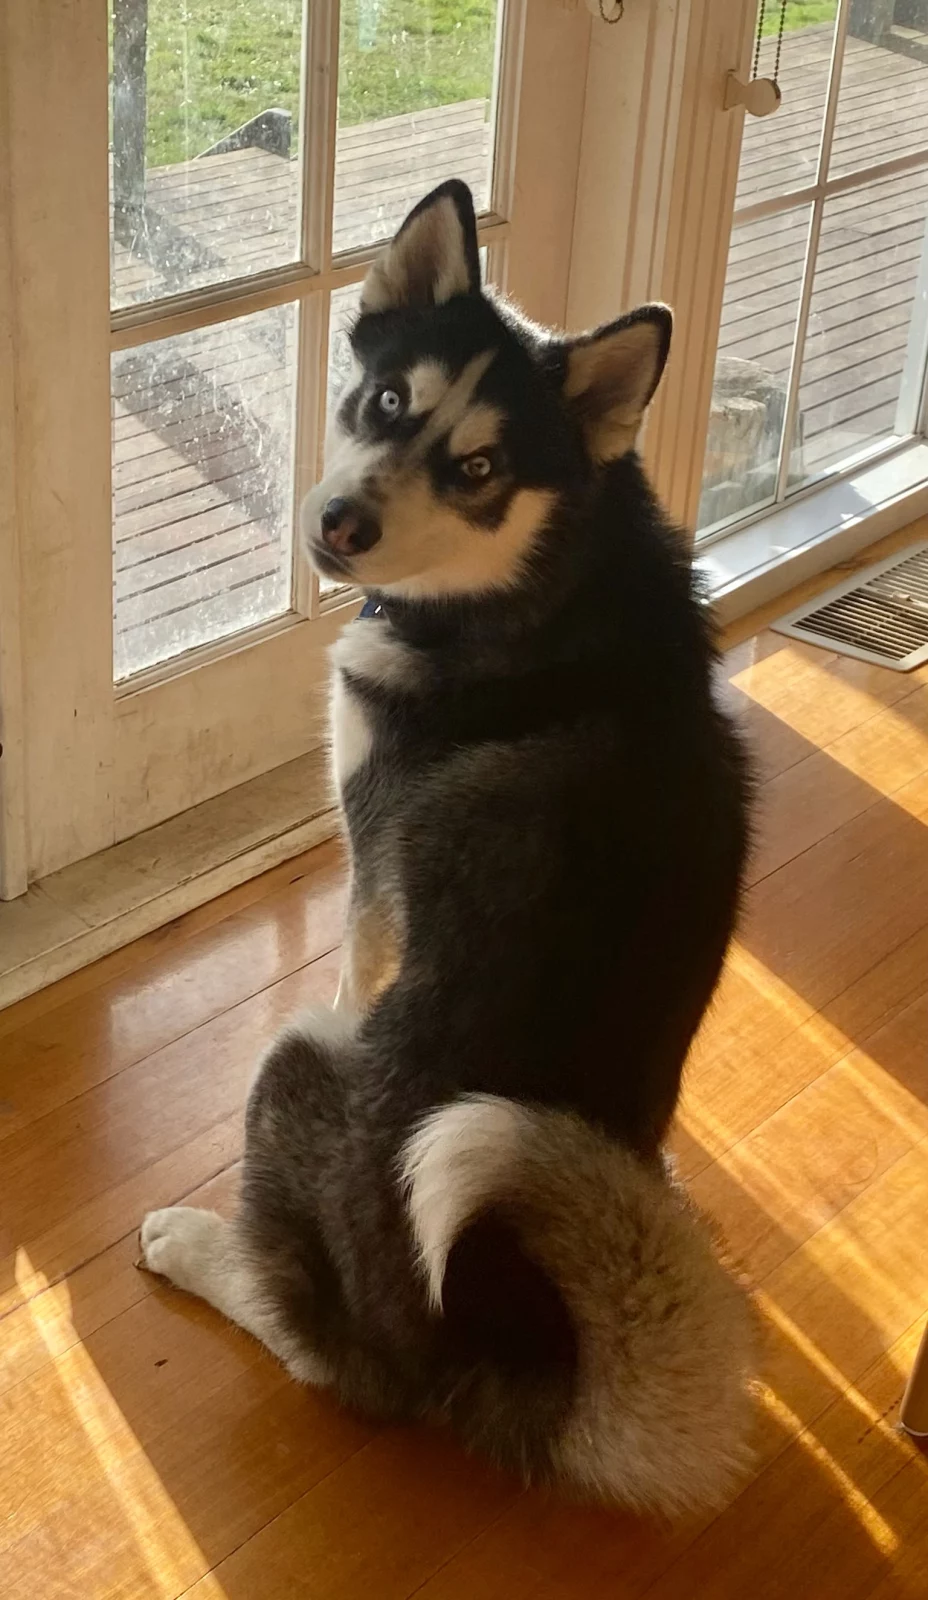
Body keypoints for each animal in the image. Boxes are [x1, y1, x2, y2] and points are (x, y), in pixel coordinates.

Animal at [141, 180, 755, 1516]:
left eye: (477, 468)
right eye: (388, 402)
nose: (341, 523)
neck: (544, 578)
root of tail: (492, 1353)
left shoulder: (372, 874)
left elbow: (354, 963)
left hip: (296, 1070)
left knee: (330, 1357)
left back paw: (207, 1249)